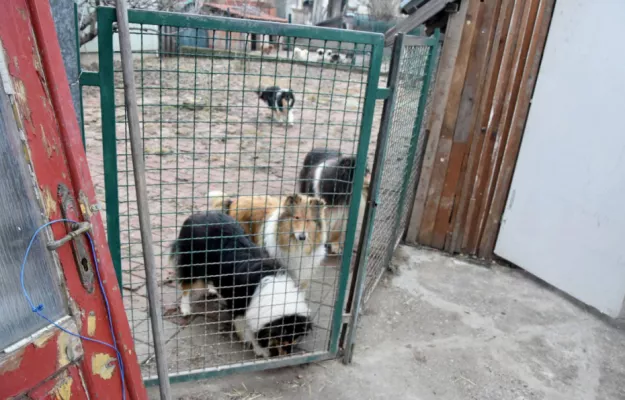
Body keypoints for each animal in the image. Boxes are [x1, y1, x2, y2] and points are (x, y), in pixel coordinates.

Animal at [172, 211, 310, 358]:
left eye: (295, 337)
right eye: (283, 337)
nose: (287, 354)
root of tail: (198, 214)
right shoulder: (241, 307)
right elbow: (248, 330)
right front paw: (259, 349)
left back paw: (212, 289)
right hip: (190, 263)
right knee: (186, 286)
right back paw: (185, 308)